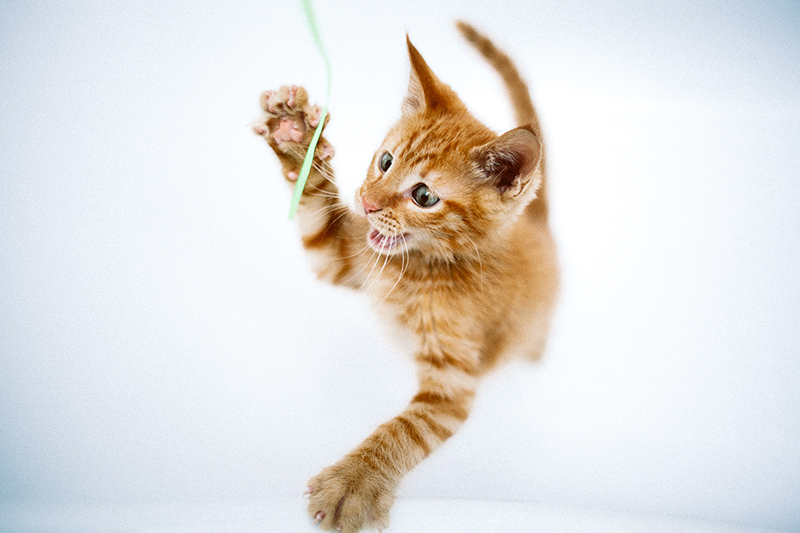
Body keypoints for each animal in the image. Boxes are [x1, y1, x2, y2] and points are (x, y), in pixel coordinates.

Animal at [253, 20, 560, 532]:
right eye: (385, 161)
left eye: (424, 196)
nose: (366, 203)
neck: (421, 268)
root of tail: (539, 225)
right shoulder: (343, 257)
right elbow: (318, 218)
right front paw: (295, 134)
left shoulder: (453, 383)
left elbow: (408, 429)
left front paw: (355, 482)